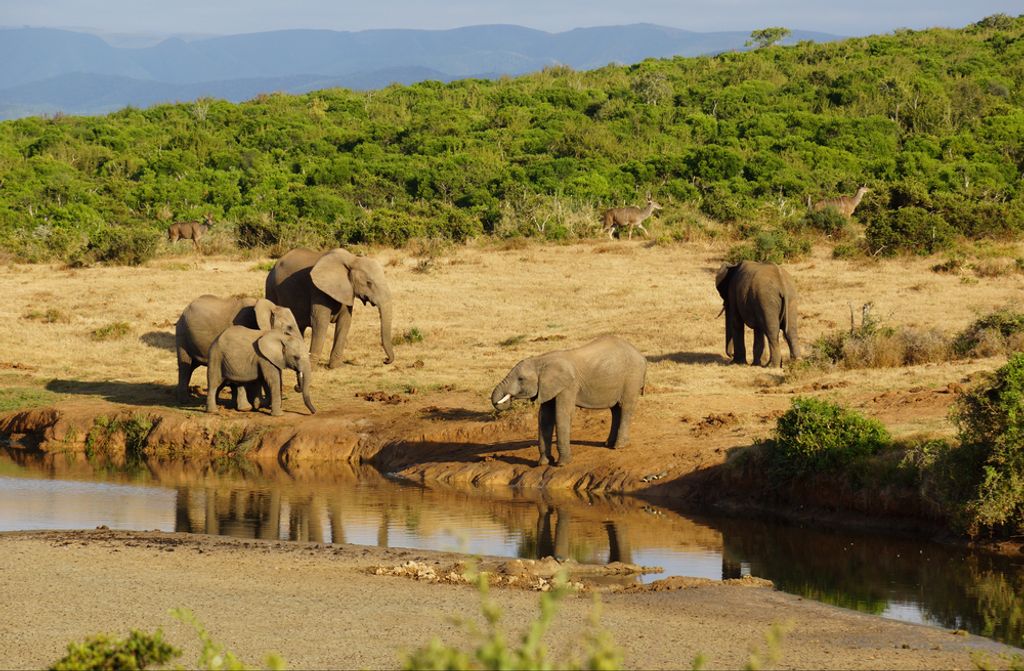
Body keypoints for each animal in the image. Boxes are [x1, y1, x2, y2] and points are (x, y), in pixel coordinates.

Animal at [265, 248, 394, 368]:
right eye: (369, 283)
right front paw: (313, 367)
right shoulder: (317, 290)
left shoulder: (346, 291)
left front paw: (335, 366)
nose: (385, 360)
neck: (352, 259)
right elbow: (320, 323)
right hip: (271, 289)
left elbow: (345, 322)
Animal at [490, 335, 646, 467]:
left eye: (521, 379)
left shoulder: (568, 386)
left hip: (632, 377)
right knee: (615, 410)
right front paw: (544, 463)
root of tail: (641, 356)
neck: (541, 360)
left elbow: (562, 415)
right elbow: (544, 418)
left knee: (625, 407)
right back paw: (608, 444)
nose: (504, 401)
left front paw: (562, 464)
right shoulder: (548, 387)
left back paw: (619, 446)